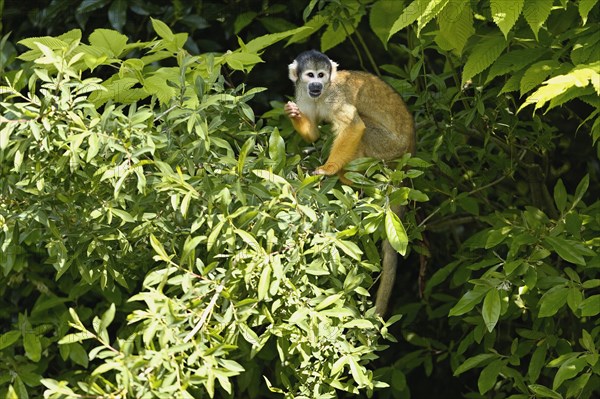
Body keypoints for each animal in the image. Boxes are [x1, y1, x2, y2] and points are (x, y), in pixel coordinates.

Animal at [284, 50, 414, 316]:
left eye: (321, 76)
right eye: (310, 75)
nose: (316, 85)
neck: (323, 94)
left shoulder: (335, 97)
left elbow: (354, 125)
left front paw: (329, 168)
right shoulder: (302, 94)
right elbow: (313, 133)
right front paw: (294, 116)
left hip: (388, 148)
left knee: (361, 128)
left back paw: (347, 175)